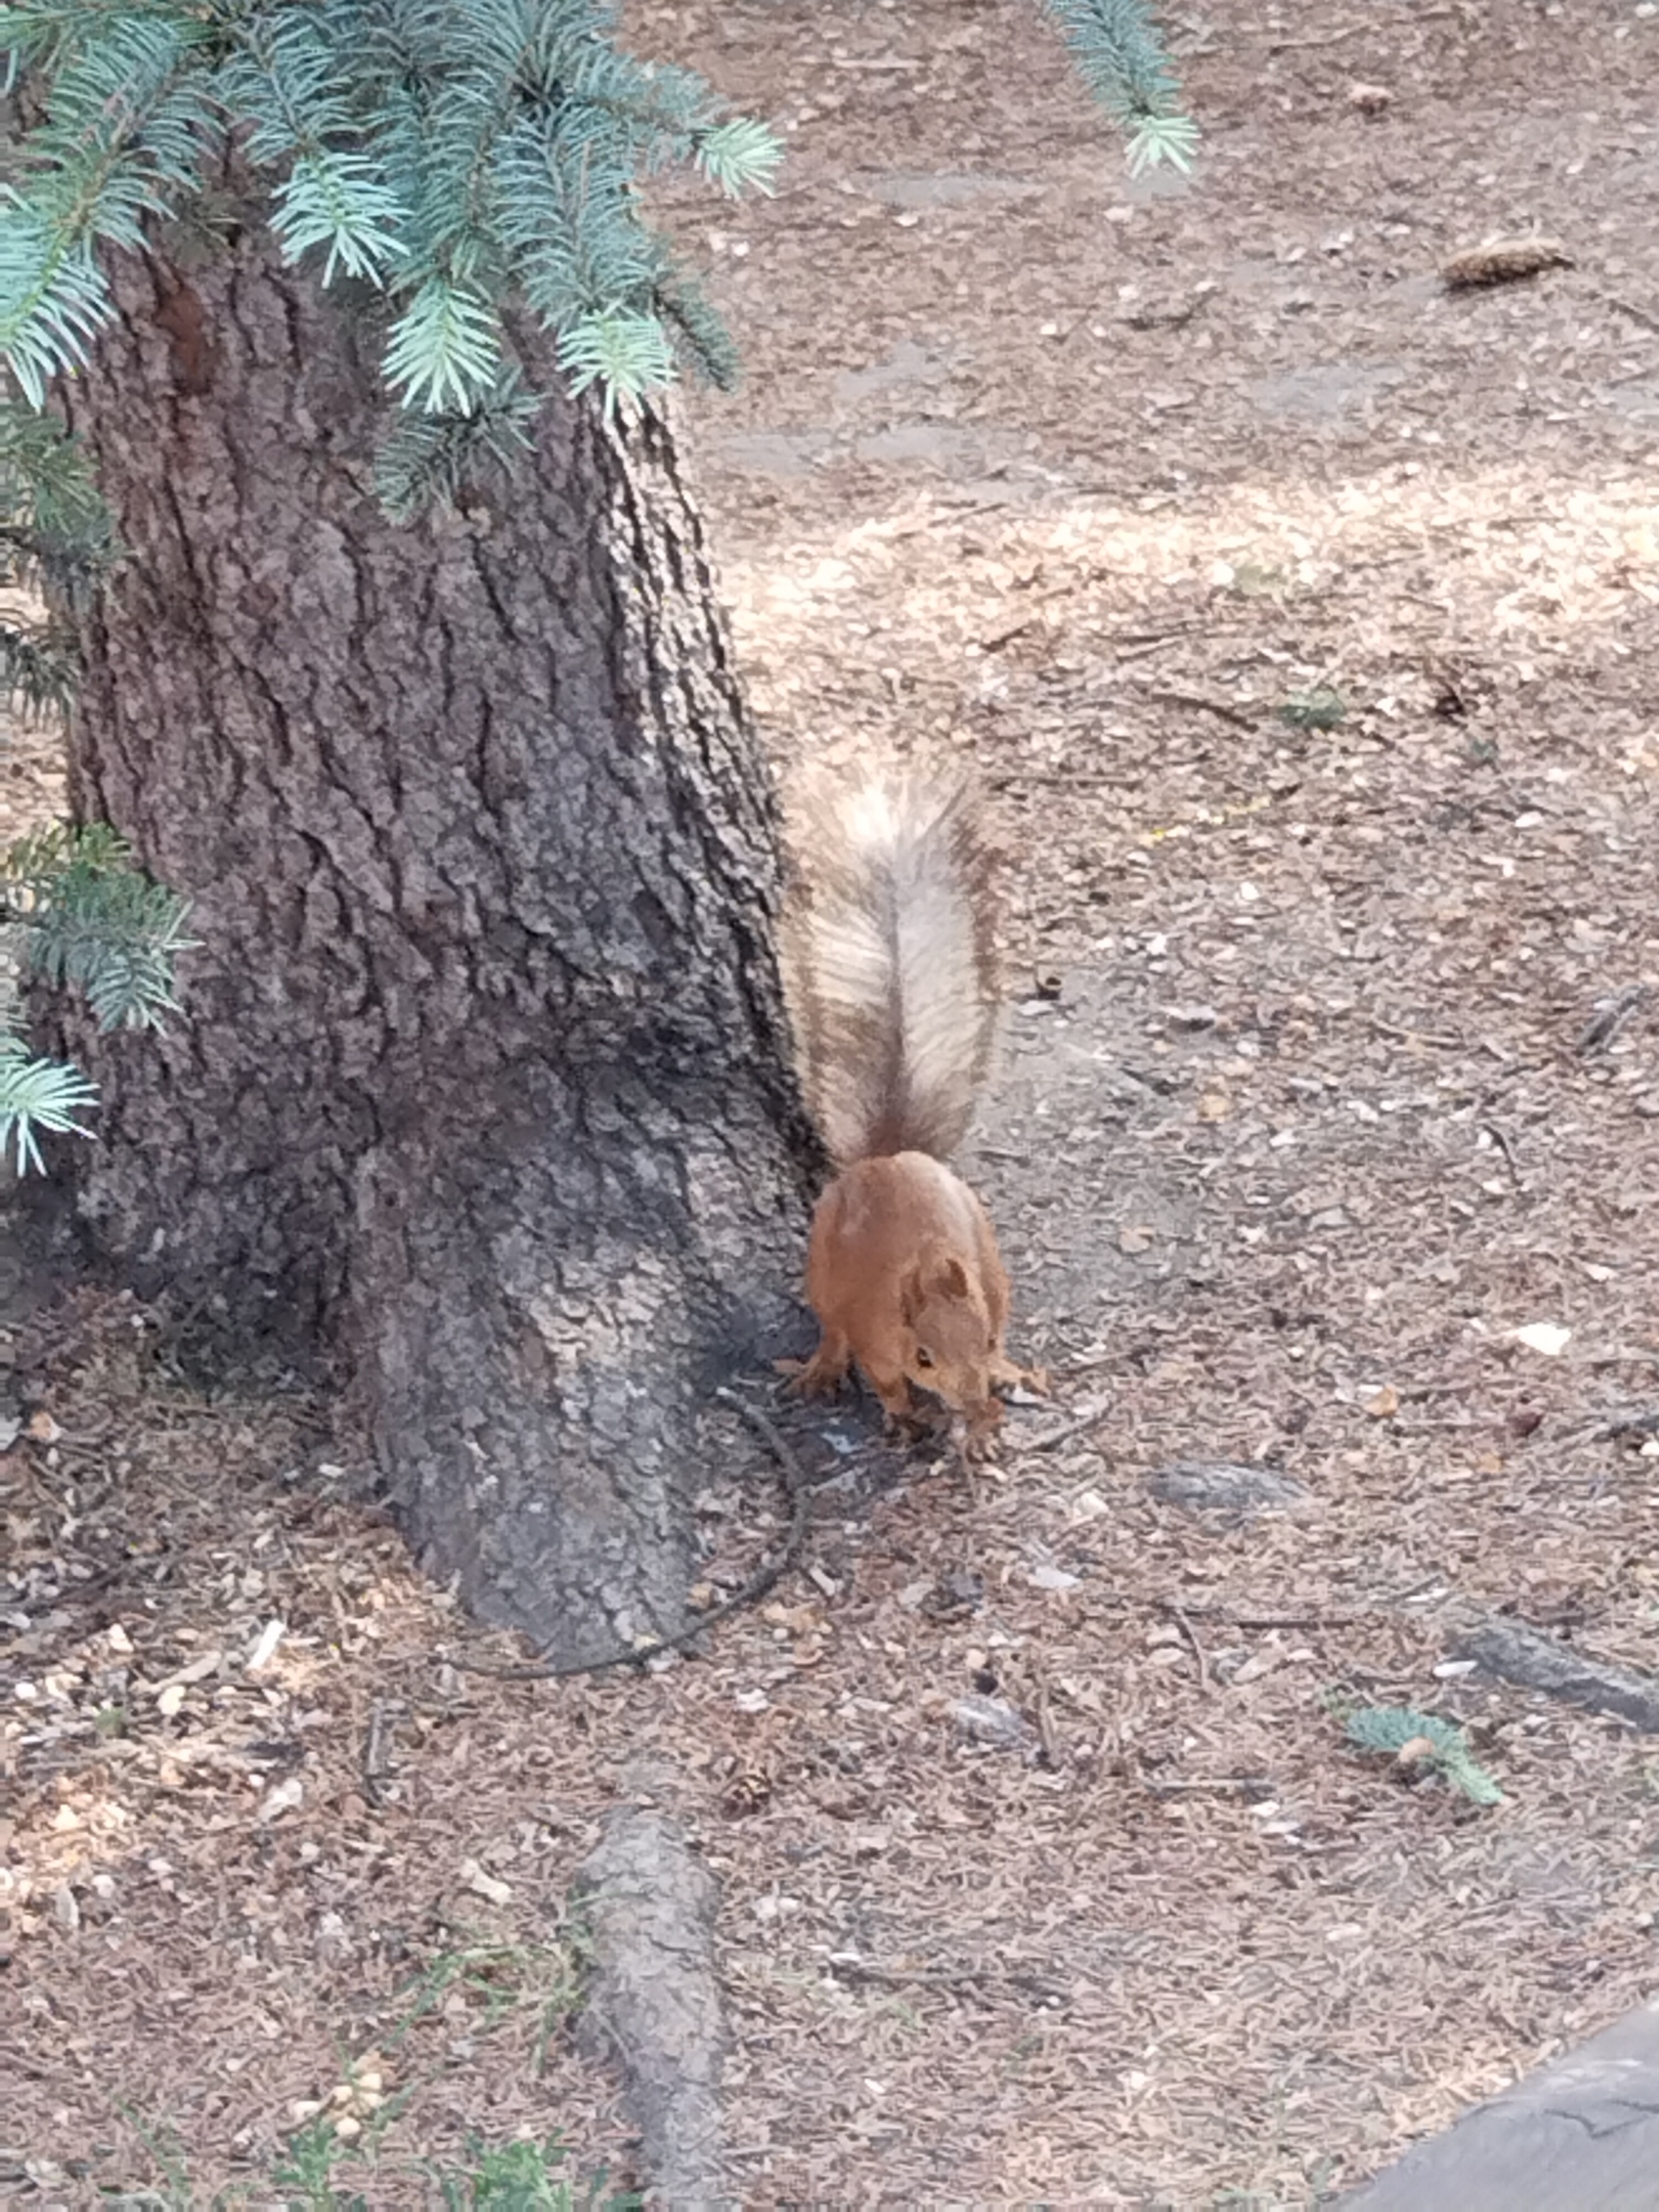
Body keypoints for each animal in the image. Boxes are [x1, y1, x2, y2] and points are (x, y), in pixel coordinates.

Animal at [783, 769, 1044, 1459]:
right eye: (925, 1356)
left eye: (982, 1341)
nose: (973, 1399)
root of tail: (889, 1154)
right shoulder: (877, 1339)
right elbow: (885, 1383)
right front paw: (905, 1419)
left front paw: (982, 1425)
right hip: (822, 1271)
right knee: (830, 1328)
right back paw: (822, 1366)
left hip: (991, 1259)